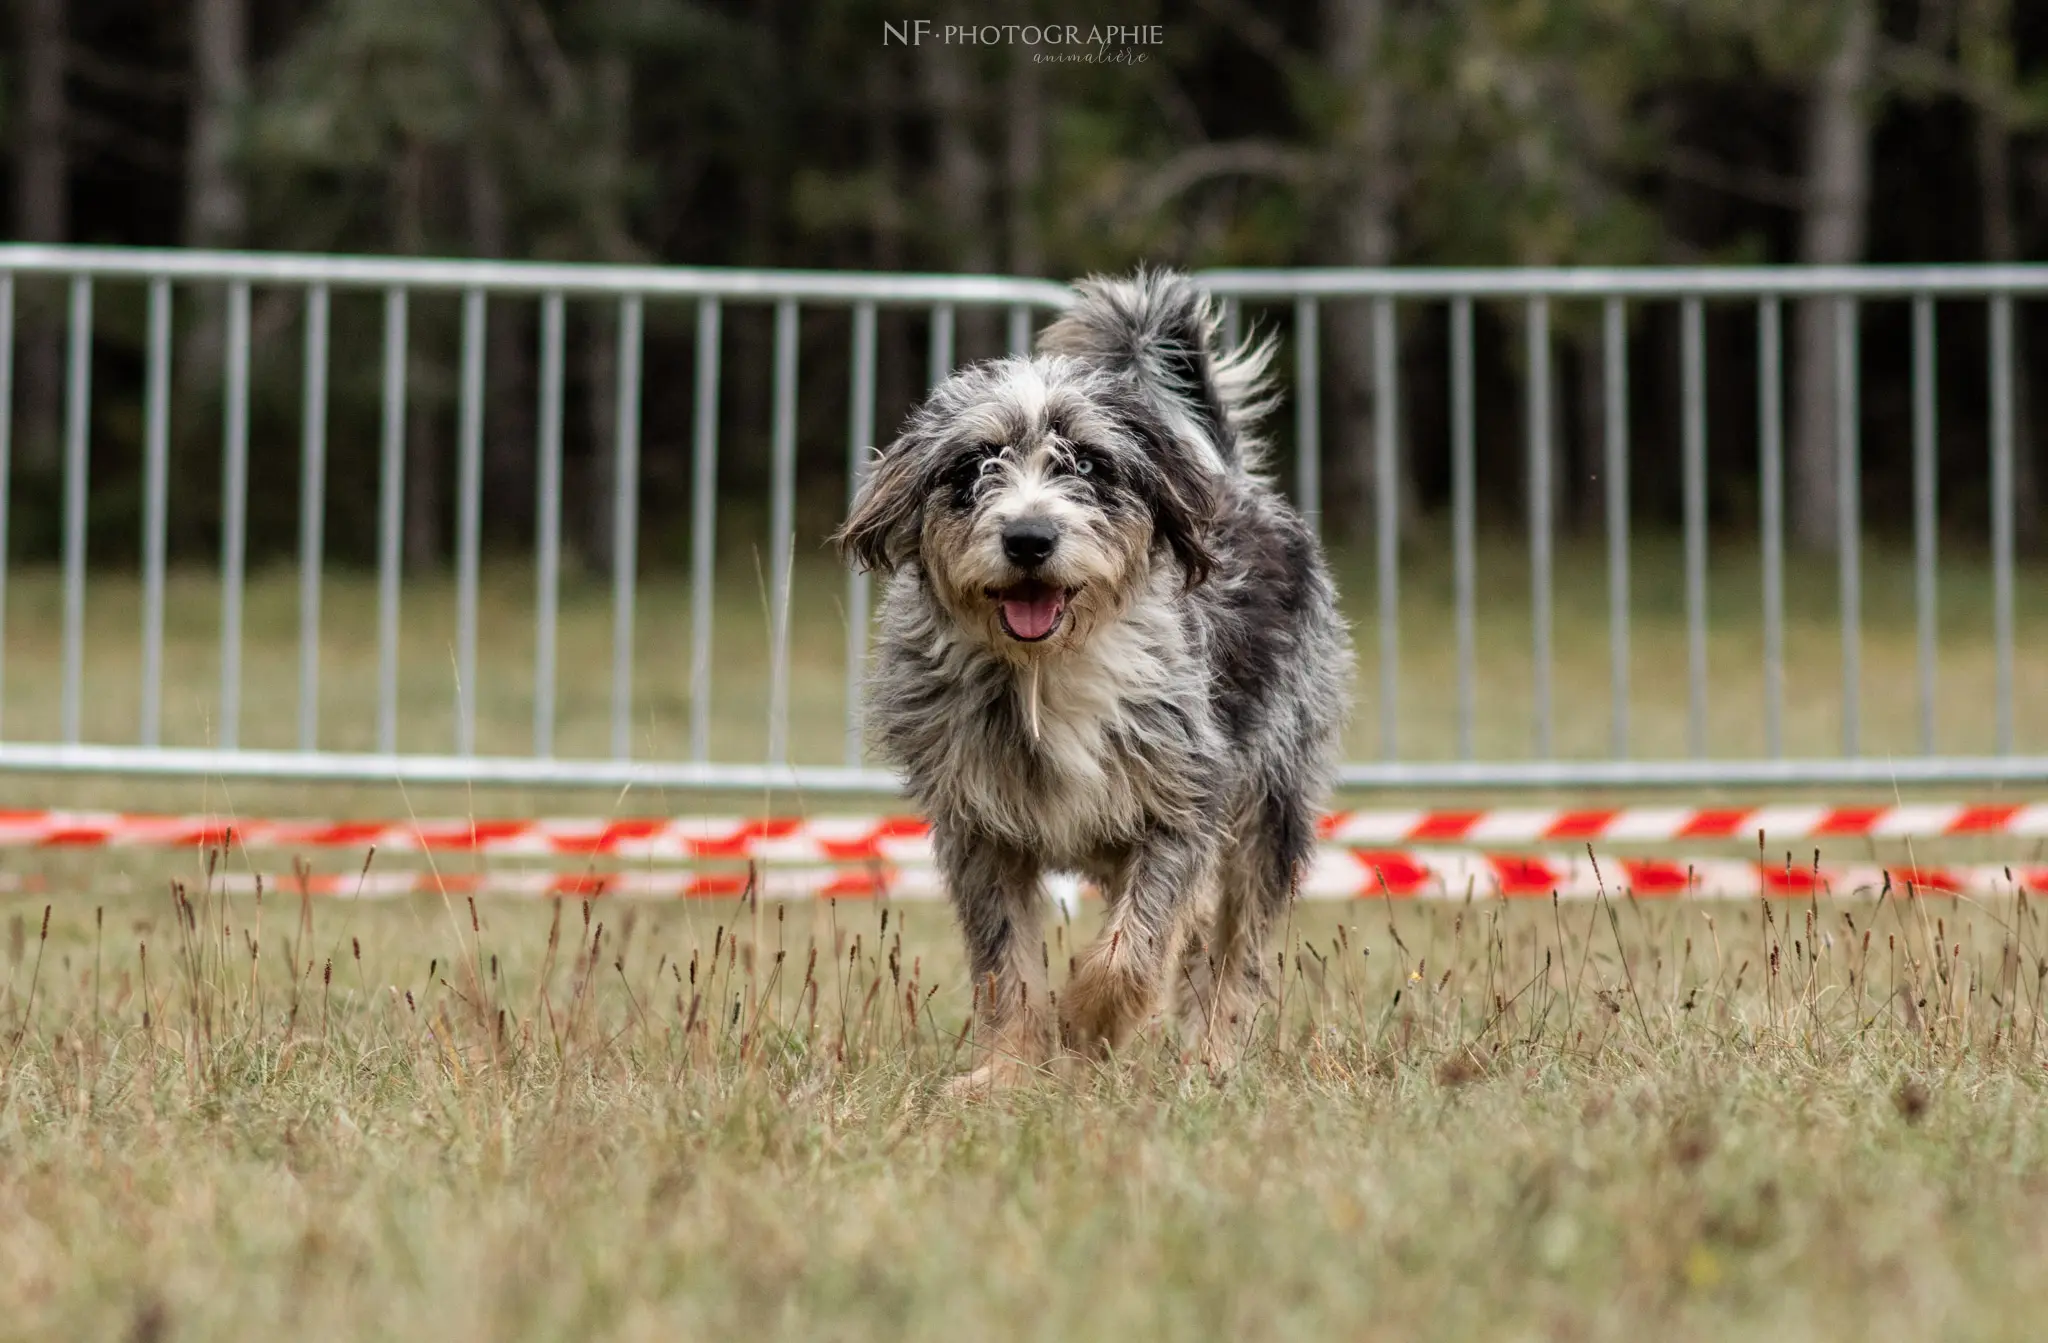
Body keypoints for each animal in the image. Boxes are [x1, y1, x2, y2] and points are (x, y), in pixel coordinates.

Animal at [831, 268, 1343, 1089]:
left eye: (1089, 464)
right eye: (975, 465)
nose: (1029, 536)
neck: (1051, 669)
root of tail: (1229, 473)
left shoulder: (1185, 806)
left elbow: (1134, 946)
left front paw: (1085, 1025)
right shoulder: (979, 831)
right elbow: (1005, 963)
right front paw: (1005, 1072)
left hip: (1273, 800)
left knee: (1234, 948)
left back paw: (1211, 1057)